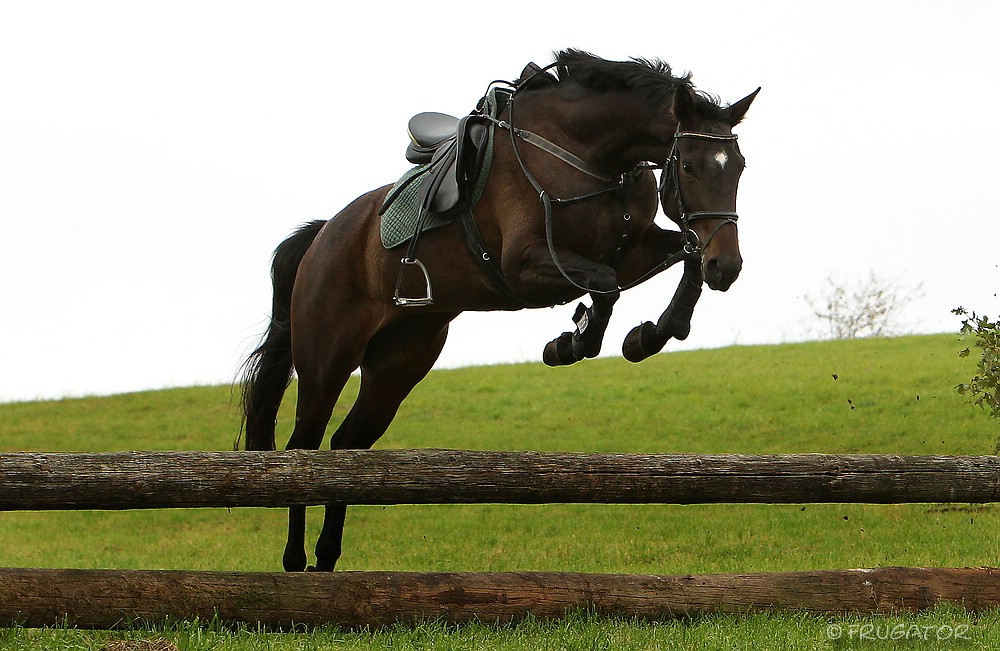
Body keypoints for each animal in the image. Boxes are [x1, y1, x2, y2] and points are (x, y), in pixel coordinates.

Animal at [240, 49, 756, 572]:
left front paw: (649, 335)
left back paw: (325, 561)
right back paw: (295, 561)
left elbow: (684, 259)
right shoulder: (526, 264)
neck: (591, 154)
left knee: (347, 448)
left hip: (400, 361)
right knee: (304, 447)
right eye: (688, 167)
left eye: (738, 167)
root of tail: (322, 236)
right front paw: (570, 343)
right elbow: (605, 285)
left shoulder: (631, 249)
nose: (728, 266)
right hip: (327, 357)